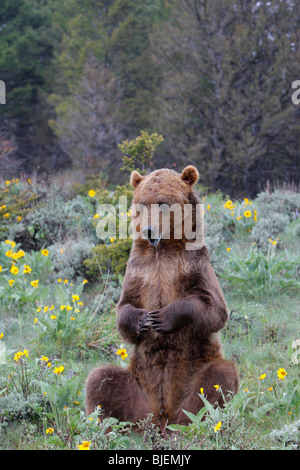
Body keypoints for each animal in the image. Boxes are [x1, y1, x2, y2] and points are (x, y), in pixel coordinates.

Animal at [86, 167, 239, 428]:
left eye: (163, 203)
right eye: (141, 203)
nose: (148, 231)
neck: (162, 251)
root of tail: (160, 415)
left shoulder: (192, 266)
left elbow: (213, 308)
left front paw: (161, 318)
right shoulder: (139, 270)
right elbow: (123, 308)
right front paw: (142, 319)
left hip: (194, 380)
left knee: (220, 377)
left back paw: (196, 424)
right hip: (136, 388)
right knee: (100, 378)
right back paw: (102, 426)